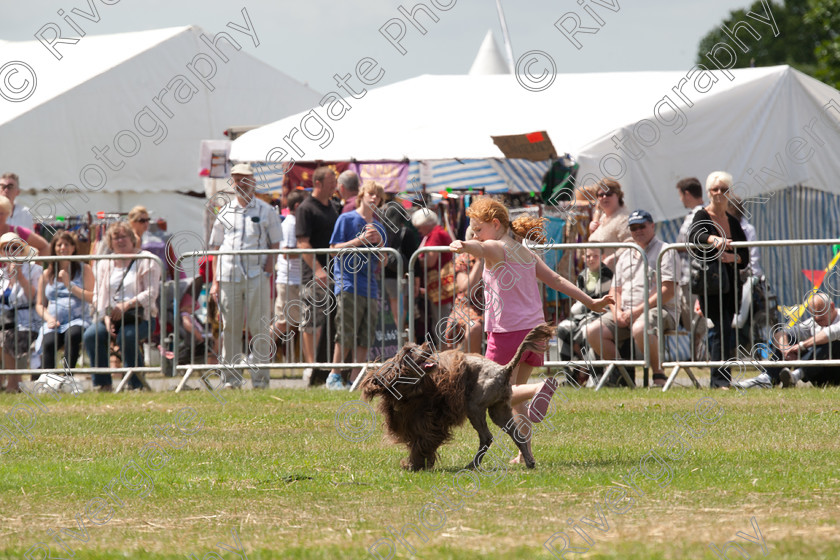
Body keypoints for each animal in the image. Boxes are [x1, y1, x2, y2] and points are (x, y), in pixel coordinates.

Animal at [360, 322, 556, 470]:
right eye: (410, 351)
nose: (429, 343)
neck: (410, 390)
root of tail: (504, 369)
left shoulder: (430, 420)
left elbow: (423, 441)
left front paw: (415, 464)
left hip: (474, 407)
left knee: (487, 437)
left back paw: (473, 465)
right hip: (499, 410)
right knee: (518, 436)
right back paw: (528, 462)